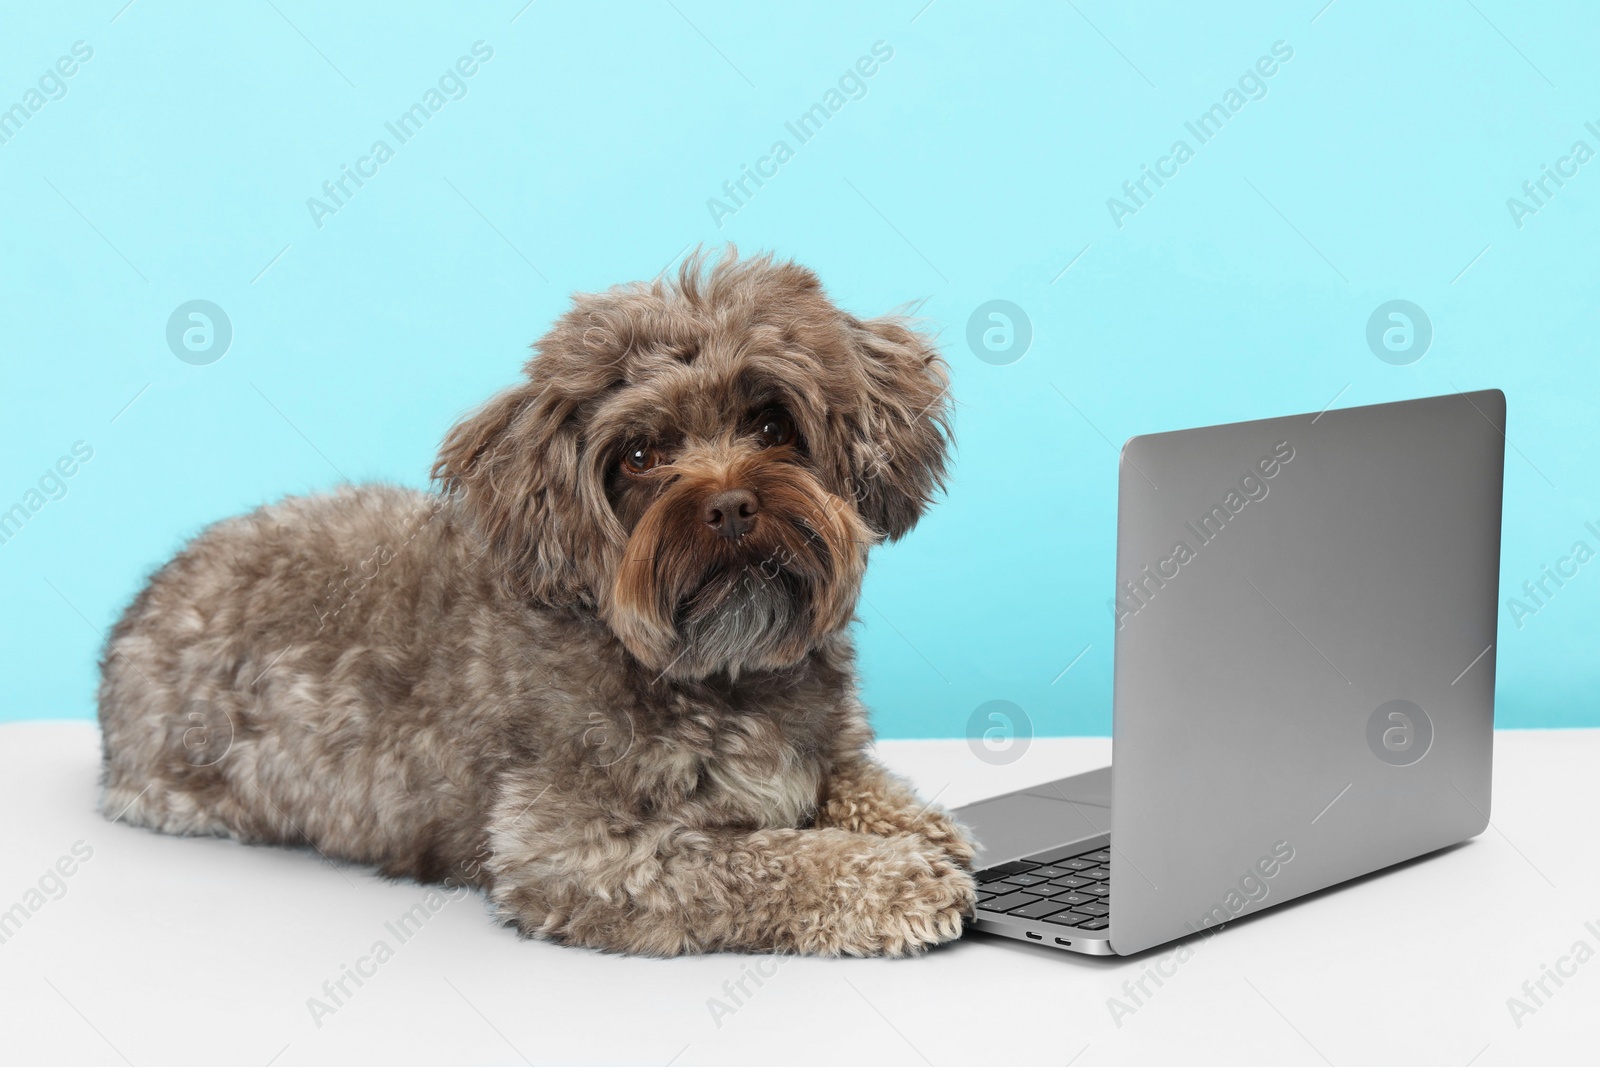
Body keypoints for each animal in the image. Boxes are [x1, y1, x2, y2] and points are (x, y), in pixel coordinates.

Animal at [100, 252, 979, 959]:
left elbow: (865, 785)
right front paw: (897, 878)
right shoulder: (584, 852)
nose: (730, 505)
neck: (720, 672)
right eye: (639, 454)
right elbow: (759, 859)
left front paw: (925, 829)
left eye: (770, 422)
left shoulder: (824, 749)